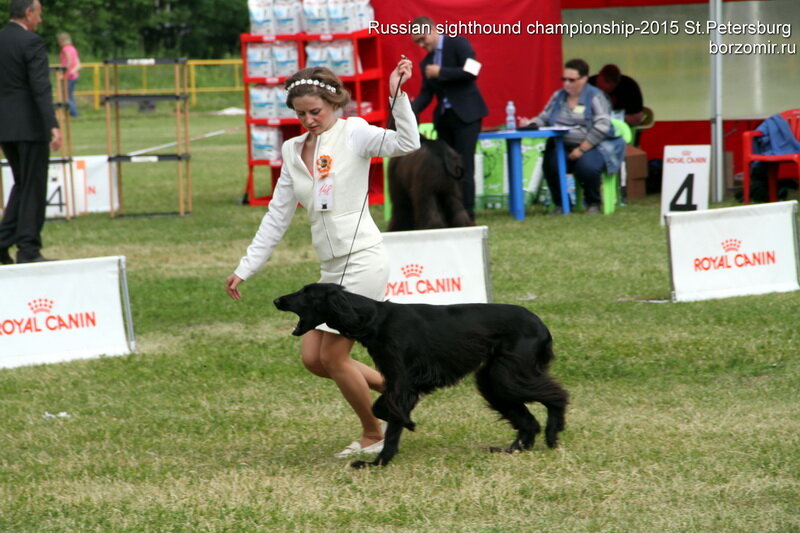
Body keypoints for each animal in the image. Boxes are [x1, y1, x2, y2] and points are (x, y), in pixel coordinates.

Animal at [276, 282, 568, 466]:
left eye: (306, 293)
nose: (276, 299)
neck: (374, 318)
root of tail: (541, 324)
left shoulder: (402, 384)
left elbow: (389, 414)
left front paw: (380, 460)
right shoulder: (397, 381)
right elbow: (381, 409)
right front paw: (395, 440)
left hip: (508, 375)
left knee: (557, 395)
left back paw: (552, 434)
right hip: (493, 379)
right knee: (528, 419)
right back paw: (514, 448)